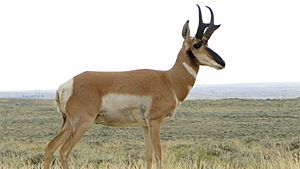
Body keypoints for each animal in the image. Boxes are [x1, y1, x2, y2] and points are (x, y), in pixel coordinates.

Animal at [42, 3, 225, 169]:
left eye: (207, 43)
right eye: (197, 44)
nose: (222, 63)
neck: (168, 79)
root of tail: (66, 86)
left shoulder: (145, 126)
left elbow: (149, 156)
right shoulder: (154, 122)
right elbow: (159, 155)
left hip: (68, 124)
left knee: (50, 147)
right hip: (82, 124)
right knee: (64, 151)